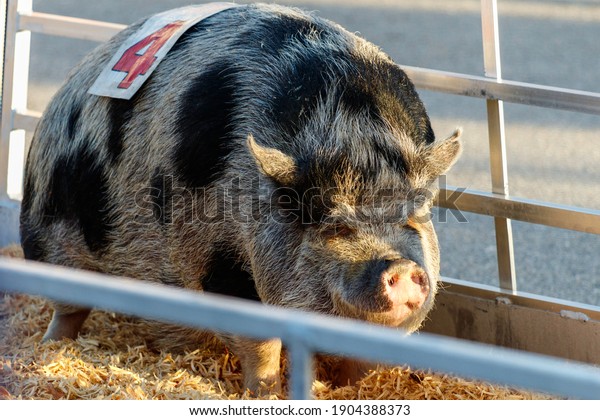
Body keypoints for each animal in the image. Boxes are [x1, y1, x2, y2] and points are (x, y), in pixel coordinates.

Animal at [18, 3, 460, 394]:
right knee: (67, 306)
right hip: (48, 236)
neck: (349, 134)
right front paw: (263, 394)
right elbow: (261, 345)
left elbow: (361, 359)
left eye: (413, 216)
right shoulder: (219, 265)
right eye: (336, 226)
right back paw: (50, 347)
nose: (401, 267)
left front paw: (348, 389)